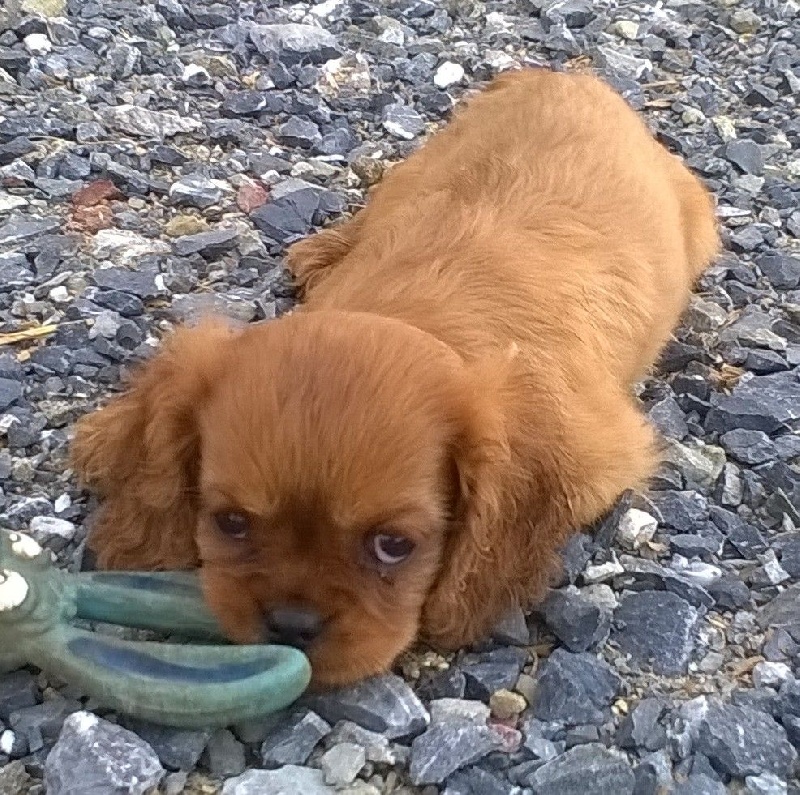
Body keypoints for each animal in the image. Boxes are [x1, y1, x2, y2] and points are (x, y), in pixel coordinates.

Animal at [70, 68, 720, 688]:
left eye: (394, 546)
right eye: (230, 522)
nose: (291, 625)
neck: (412, 312)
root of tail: (571, 77)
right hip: (416, 168)